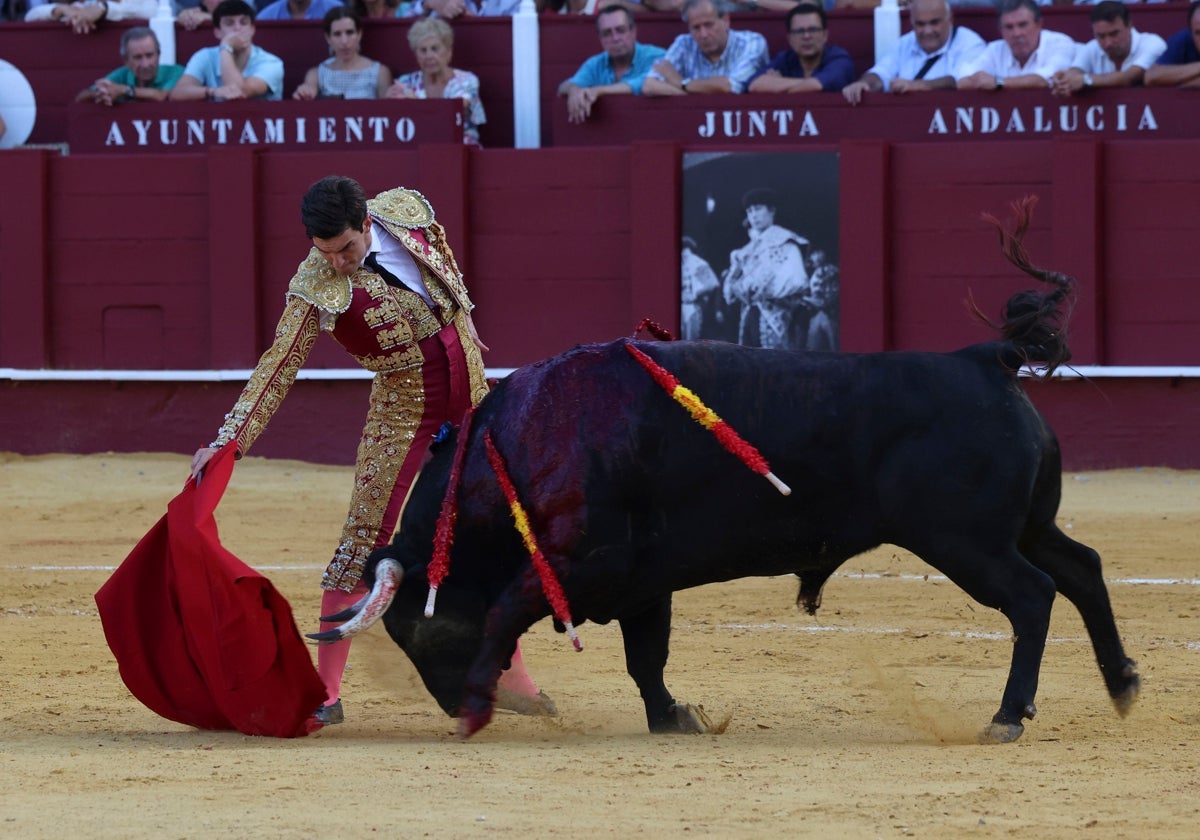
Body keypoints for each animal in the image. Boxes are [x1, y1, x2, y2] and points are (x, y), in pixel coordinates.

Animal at [314, 216, 1137, 739]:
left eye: (423, 629)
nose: (455, 704)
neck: (522, 443)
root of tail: (985, 358)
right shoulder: (641, 579)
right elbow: (646, 656)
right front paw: (675, 718)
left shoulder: (587, 563)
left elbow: (509, 612)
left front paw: (483, 704)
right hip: (1024, 525)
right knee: (1083, 568)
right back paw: (1122, 683)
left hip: (966, 541)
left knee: (1033, 595)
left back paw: (1008, 716)